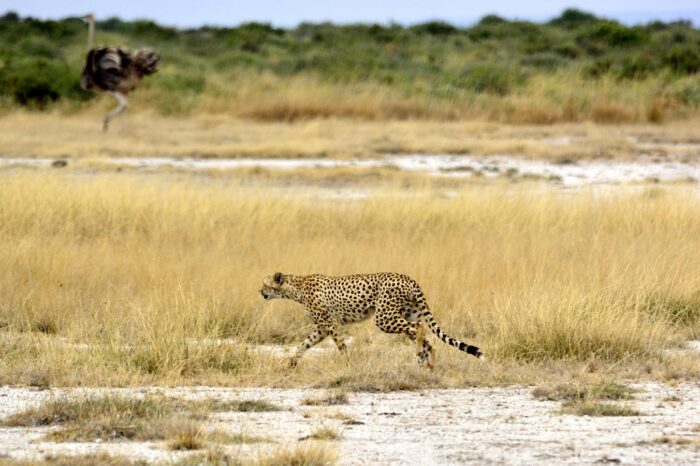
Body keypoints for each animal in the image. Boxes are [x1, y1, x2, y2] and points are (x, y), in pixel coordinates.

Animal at [259, 272, 483, 368]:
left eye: (265, 284)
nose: (260, 292)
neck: (296, 287)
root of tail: (408, 278)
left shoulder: (330, 324)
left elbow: (341, 346)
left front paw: (348, 364)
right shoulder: (322, 328)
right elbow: (304, 344)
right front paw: (290, 362)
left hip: (384, 318)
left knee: (419, 328)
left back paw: (420, 357)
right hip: (404, 314)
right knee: (428, 338)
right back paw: (427, 365)